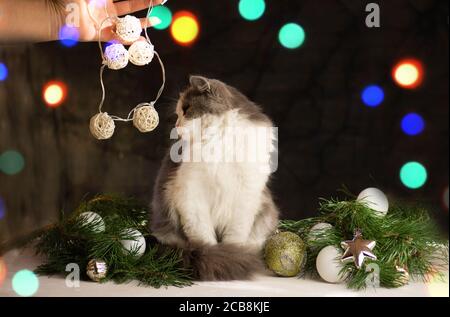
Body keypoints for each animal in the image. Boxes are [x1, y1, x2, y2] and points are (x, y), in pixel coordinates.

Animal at [149, 76, 280, 278]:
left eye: (186, 109)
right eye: (178, 113)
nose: (176, 126)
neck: (218, 141)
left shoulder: (246, 195)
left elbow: (235, 236)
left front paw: (233, 254)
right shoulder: (191, 193)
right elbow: (204, 235)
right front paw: (217, 256)